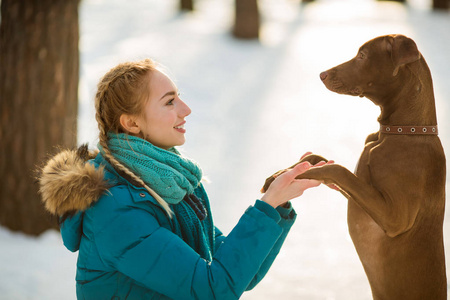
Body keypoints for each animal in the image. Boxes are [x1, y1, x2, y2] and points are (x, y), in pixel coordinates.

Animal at [264, 34, 446, 298]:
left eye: (362, 56)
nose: (322, 74)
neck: (403, 132)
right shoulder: (359, 193)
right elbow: (320, 158)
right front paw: (280, 173)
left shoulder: (396, 218)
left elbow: (337, 169)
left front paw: (299, 175)